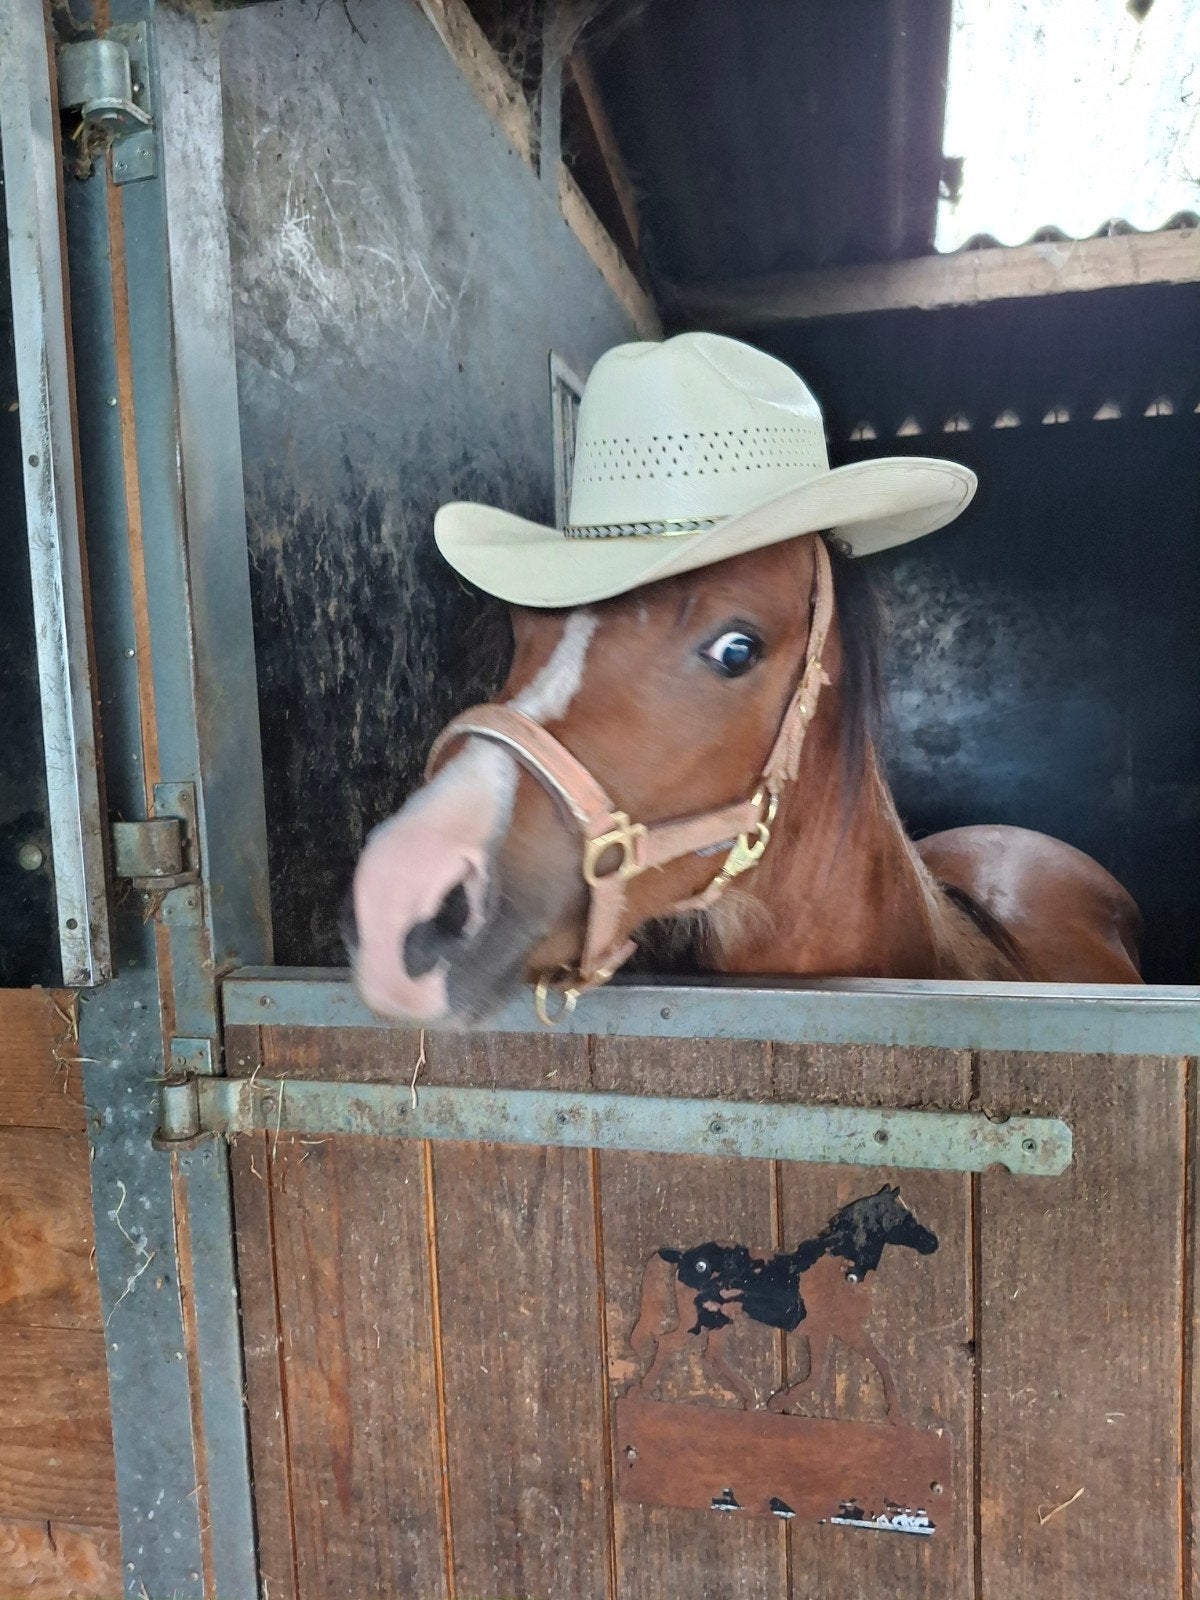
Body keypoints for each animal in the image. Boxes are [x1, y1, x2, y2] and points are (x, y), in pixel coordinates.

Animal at [627, 1186, 939, 1417]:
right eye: (903, 1218)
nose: (932, 1242)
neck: (839, 1268)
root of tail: (683, 1256)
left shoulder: (846, 1331)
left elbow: (880, 1361)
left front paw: (895, 1413)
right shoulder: (825, 1331)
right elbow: (820, 1373)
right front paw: (780, 1402)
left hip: (720, 1321)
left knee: (710, 1354)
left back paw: (749, 1400)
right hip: (703, 1318)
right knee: (671, 1344)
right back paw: (641, 1393)